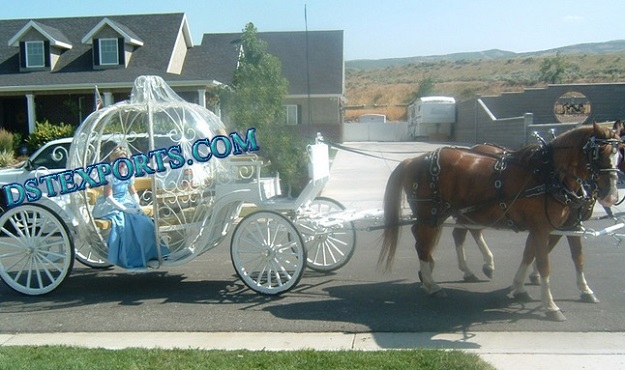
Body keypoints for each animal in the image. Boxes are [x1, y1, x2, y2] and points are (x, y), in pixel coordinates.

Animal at [380, 123, 620, 320]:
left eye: (620, 154)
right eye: (598, 153)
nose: (611, 196)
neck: (549, 174)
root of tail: (413, 160)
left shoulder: (564, 226)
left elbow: (569, 257)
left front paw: (581, 290)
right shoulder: (542, 228)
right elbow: (544, 264)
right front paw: (550, 306)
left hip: (445, 213)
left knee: (442, 237)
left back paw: (446, 271)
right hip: (431, 212)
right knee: (423, 242)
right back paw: (432, 284)